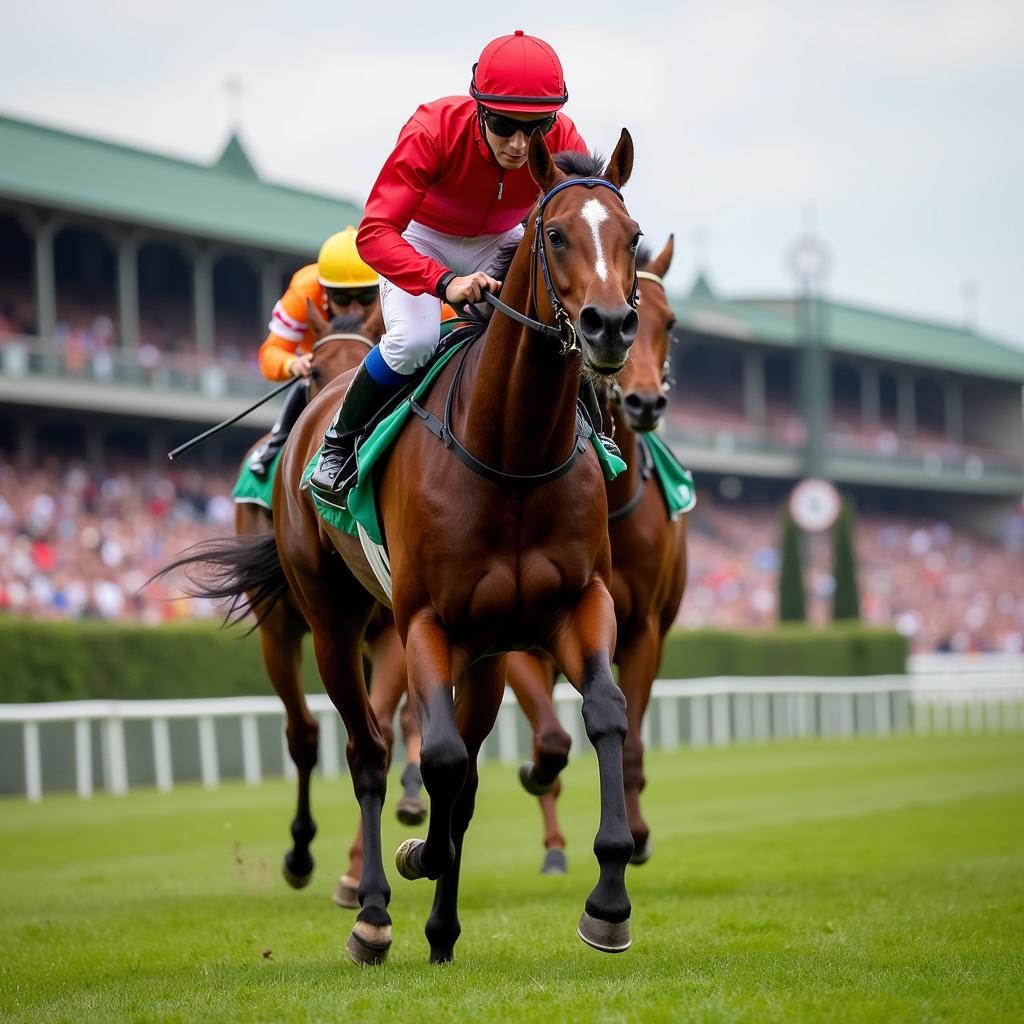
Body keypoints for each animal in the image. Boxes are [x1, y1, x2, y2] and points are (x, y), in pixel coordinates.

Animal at [172, 132, 643, 962]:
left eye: (635, 237)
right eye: (556, 235)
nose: (610, 325)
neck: (511, 452)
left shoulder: (575, 604)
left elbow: (604, 714)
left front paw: (608, 901)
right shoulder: (422, 619)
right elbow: (442, 757)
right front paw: (410, 858)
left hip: (481, 652)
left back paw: (439, 923)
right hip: (323, 621)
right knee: (356, 748)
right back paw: (369, 907)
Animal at [505, 234, 688, 872]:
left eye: (670, 322)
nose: (643, 402)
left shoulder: (644, 630)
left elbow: (629, 733)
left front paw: (637, 834)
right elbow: (548, 739)